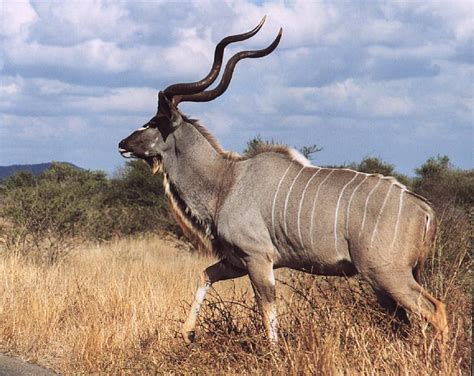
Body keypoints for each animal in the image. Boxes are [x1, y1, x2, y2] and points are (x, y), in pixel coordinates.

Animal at [117, 17, 448, 346]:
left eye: (154, 122)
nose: (123, 143)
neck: (226, 181)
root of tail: (423, 208)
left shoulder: (258, 258)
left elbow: (268, 311)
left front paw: (274, 352)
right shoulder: (236, 261)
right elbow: (205, 275)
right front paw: (188, 332)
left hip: (386, 274)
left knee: (435, 309)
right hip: (389, 279)